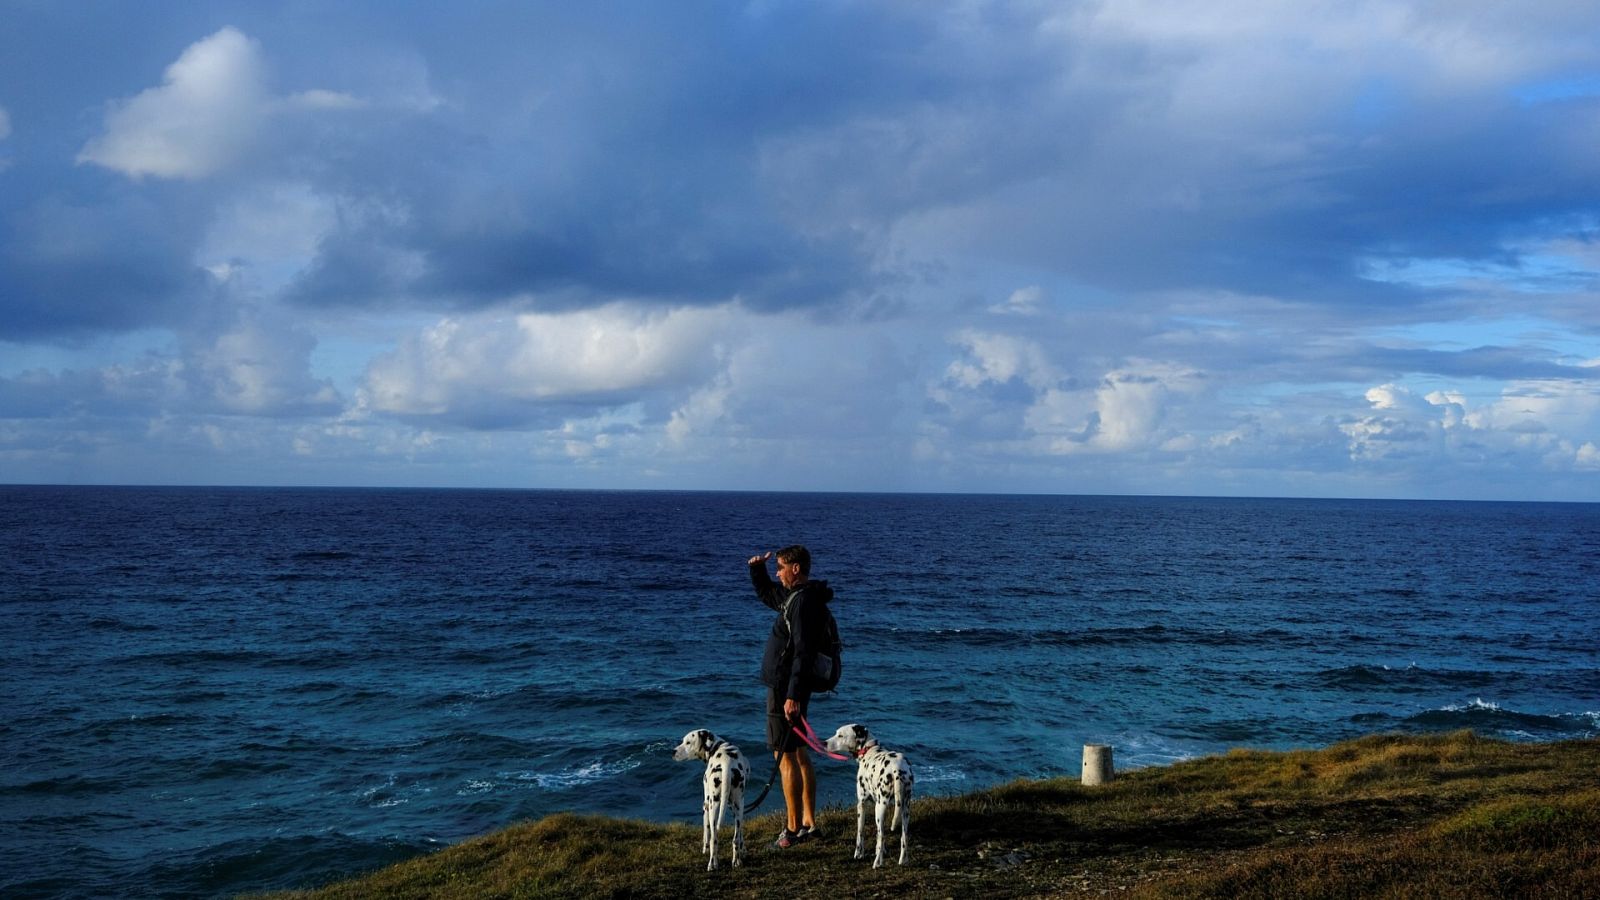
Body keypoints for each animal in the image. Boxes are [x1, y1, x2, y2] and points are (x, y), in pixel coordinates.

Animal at [672, 730, 752, 871]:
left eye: (687, 742)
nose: (672, 752)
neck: (717, 746)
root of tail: (727, 764)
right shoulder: (734, 806)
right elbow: (741, 834)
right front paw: (743, 851)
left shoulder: (705, 805)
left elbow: (706, 833)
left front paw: (704, 849)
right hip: (738, 806)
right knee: (735, 838)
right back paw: (736, 861)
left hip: (713, 806)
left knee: (714, 839)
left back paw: (712, 863)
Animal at [825, 720, 915, 864]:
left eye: (840, 735)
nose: (824, 743)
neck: (869, 750)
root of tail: (897, 769)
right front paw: (881, 850)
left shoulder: (861, 803)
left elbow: (860, 832)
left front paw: (858, 854)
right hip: (905, 809)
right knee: (903, 836)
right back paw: (902, 861)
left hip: (880, 808)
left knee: (882, 835)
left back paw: (877, 863)